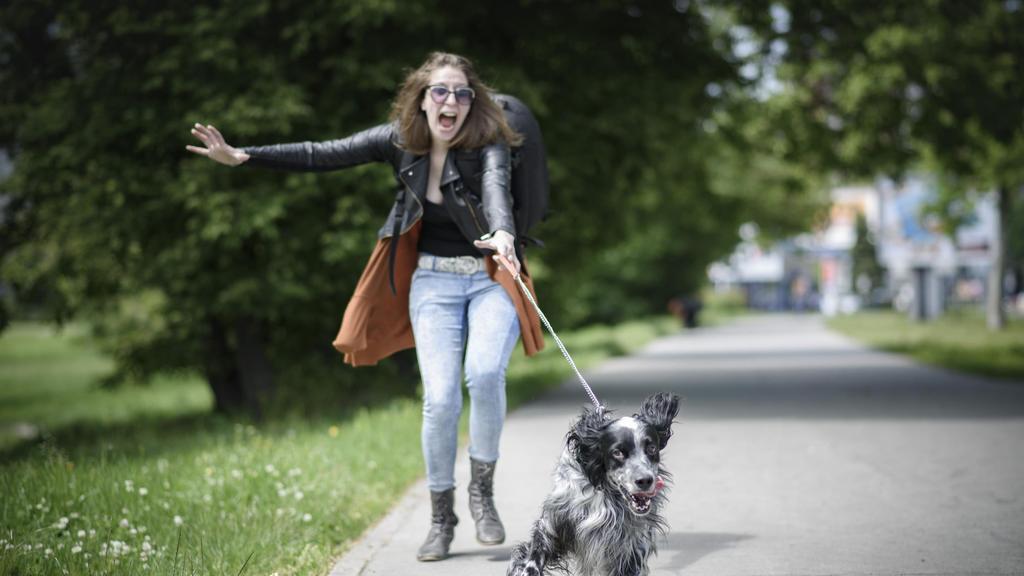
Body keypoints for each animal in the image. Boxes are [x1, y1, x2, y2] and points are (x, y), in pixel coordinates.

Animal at [505, 389, 679, 573]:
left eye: (651, 448)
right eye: (617, 452)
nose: (645, 480)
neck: (605, 491)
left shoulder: (631, 549)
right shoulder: (552, 525)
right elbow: (532, 560)